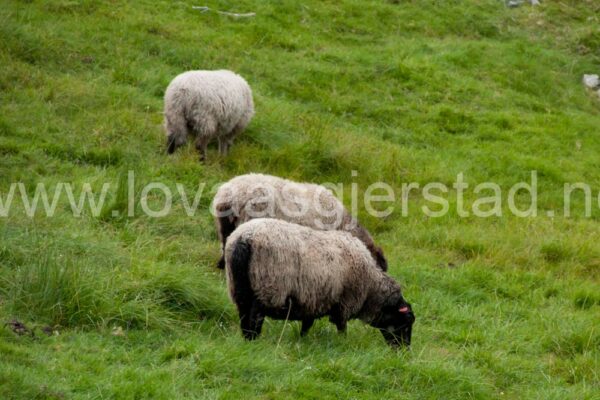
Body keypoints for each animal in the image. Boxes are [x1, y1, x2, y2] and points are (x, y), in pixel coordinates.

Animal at [223, 219, 414, 346]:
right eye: (405, 323)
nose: (404, 351)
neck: (370, 289)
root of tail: (245, 237)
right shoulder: (343, 303)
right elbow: (341, 327)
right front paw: (343, 343)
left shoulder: (312, 301)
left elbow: (307, 325)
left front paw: (302, 341)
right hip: (268, 288)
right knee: (255, 317)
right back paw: (253, 340)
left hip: (239, 288)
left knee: (244, 314)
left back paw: (246, 339)